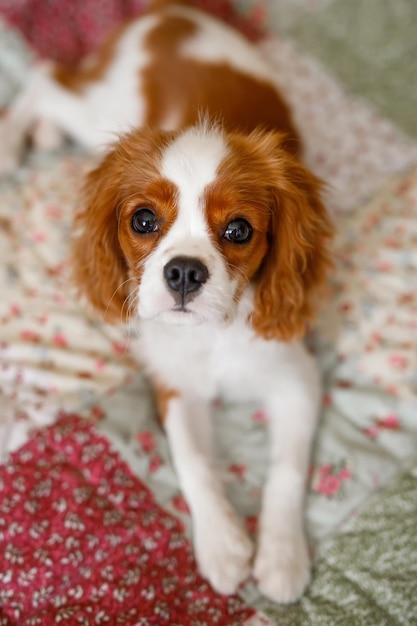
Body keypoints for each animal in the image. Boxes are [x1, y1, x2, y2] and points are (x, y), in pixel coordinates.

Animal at [0, 1, 332, 604]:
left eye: (239, 230)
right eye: (143, 220)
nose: (183, 272)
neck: (214, 332)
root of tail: (169, 14)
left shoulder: (297, 378)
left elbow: (288, 470)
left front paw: (281, 555)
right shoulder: (175, 385)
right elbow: (194, 460)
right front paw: (222, 546)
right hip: (101, 106)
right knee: (47, 77)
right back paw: (11, 142)